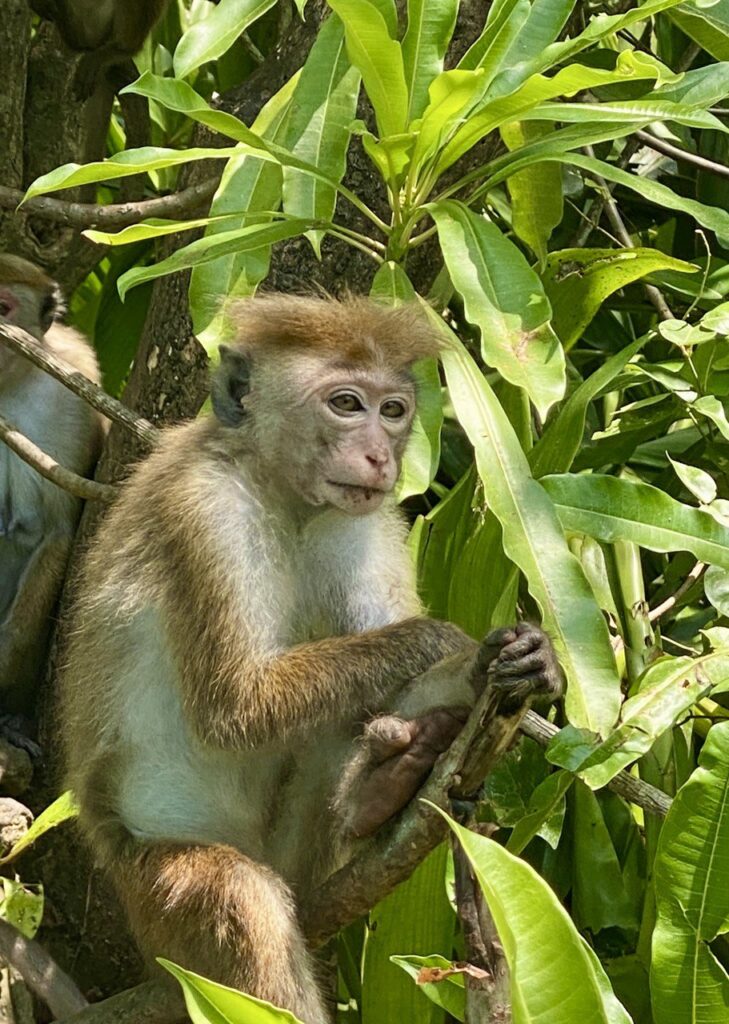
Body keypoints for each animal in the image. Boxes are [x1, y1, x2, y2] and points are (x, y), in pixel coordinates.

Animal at [58, 295, 562, 1023]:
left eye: (392, 410)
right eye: (346, 404)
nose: (379, 455)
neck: (281, 491)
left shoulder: (364, 518)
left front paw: (516, 664)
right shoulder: (204, 512)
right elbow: (236, 706)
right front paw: (453, 644)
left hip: (305, 861)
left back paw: (381, 786)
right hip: (154, 901)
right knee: (244, 902)